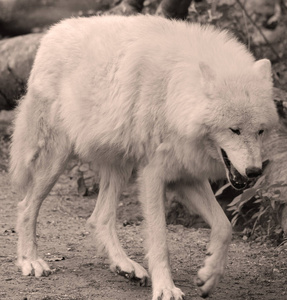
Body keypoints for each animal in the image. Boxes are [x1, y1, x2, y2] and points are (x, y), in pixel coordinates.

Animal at [10, 15, 280, 298]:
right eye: (234, 130)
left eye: (260, 131)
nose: (254, 172)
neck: (174, 93)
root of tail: (52, 32)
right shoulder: (153, 175)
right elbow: (160, 240)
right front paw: (166, 288)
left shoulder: (185, 176)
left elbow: (225, 227)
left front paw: (209, 276)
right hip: (58, 159)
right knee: (26, 206)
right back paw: (31, 261)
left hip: (120, 166)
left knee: (99, 219)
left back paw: (125, 267)